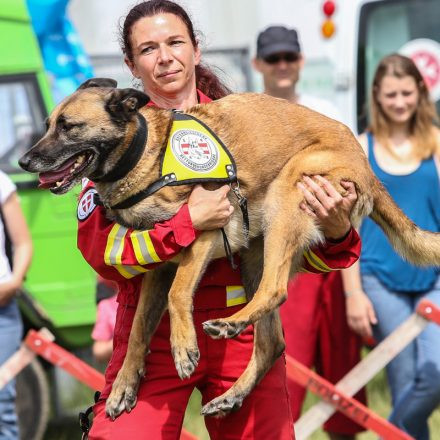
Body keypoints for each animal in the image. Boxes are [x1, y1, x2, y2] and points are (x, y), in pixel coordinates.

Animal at [20, 78, 440, 420]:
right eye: (47, 125)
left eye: (68, 126)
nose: (25, 161)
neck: (147, 155)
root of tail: (366, 164)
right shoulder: (157, 267)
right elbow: (138, 327)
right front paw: (124, 384)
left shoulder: (205, 233)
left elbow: (178, 294)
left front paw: (183, 349)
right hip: (255, 254)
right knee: (272, 342)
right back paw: (232, 391)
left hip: (286, 194)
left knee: (275, 291)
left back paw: (229, 324)